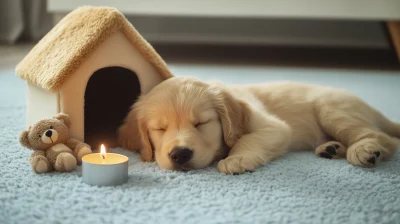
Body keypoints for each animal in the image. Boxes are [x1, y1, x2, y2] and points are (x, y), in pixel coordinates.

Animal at [119, 76, 400, 174]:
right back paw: (330, 149)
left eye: (201, 123)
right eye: (160, 129)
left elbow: (247, 138)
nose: (179, 154)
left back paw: (363, 150)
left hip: (332, 109)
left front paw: (236, 159)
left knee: (384, 138)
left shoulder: (274, 127)